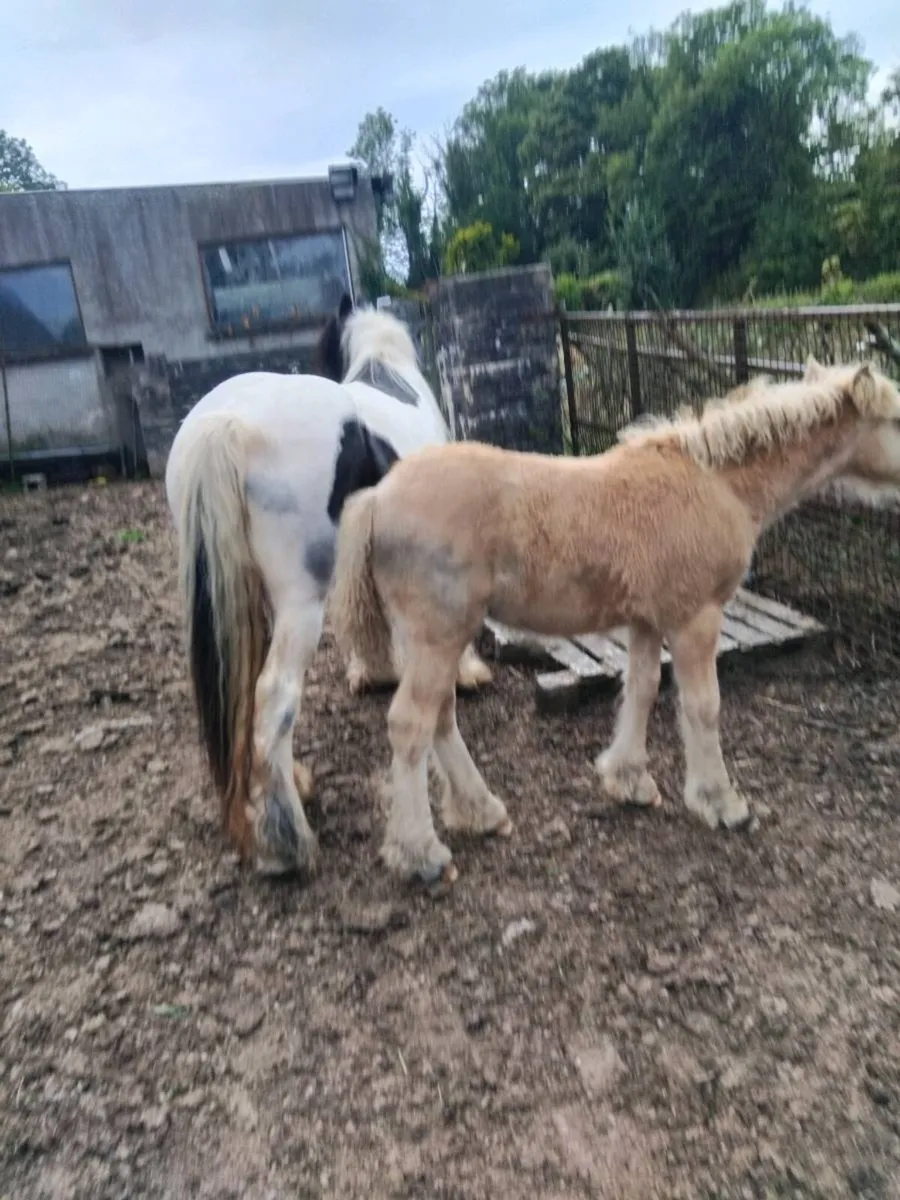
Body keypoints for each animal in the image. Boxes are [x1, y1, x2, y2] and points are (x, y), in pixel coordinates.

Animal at [329, 356, 900, 886]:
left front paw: (629, 781)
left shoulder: (647, 620)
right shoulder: (695, 618)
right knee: (410, 725)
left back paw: (481, 811)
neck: (715, 483)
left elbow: (642, 688)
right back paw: (420, 854)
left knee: (442, 717)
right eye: (895, 418)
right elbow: (703, 706)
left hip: (434, 639)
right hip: (437, 636)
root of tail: (378, 496)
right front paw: (721, 803)